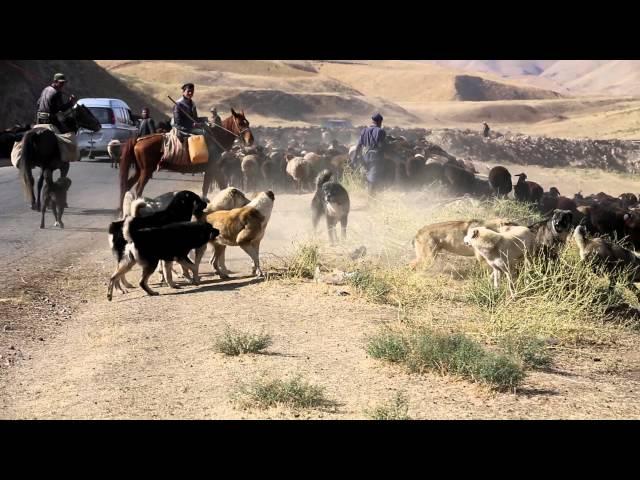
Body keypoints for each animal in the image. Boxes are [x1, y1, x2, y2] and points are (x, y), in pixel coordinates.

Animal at [119, 109, 254, 208]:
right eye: (241, 123)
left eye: (248, 122)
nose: (250, 140)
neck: (217, 138)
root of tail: (138, 140)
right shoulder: (213, 170)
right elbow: (216, 188)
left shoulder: (212, 171)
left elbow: (216, 187)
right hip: (146, 171)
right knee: (138, 189)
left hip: (139, 170)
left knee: (127, 185)